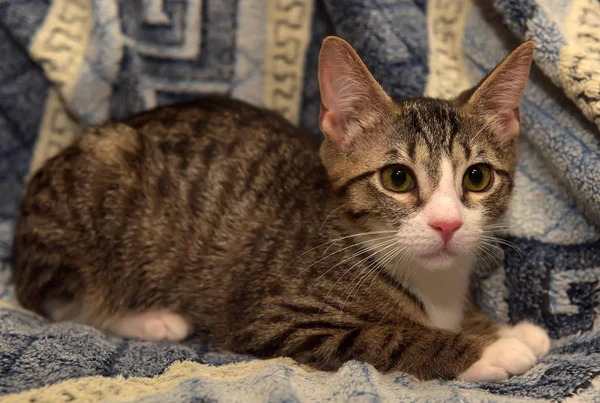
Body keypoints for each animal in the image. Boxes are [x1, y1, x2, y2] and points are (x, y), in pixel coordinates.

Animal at [11, 35, 552, 382]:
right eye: (397, 179)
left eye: (477, 178)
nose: (446, 224)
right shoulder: (275, 318)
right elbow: (390, 336)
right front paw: (489, 348)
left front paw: (504, 327)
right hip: (96, 189)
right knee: (66, 304)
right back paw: (152, 319)